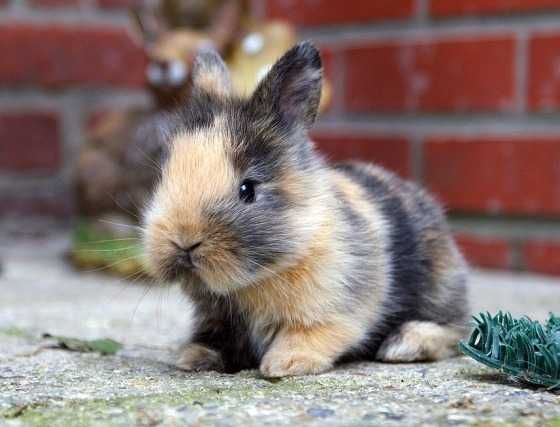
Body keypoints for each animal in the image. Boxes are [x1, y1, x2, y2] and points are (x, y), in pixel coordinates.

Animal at [140, 41, 468, 378]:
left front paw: (284, 364)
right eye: (164, 177)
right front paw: (194, 357)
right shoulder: (216, 318)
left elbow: (310, 333)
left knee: (457, 331)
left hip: (438, 289)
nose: (183, 240)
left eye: (248, 189)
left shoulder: (332, 308)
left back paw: (403, 345)